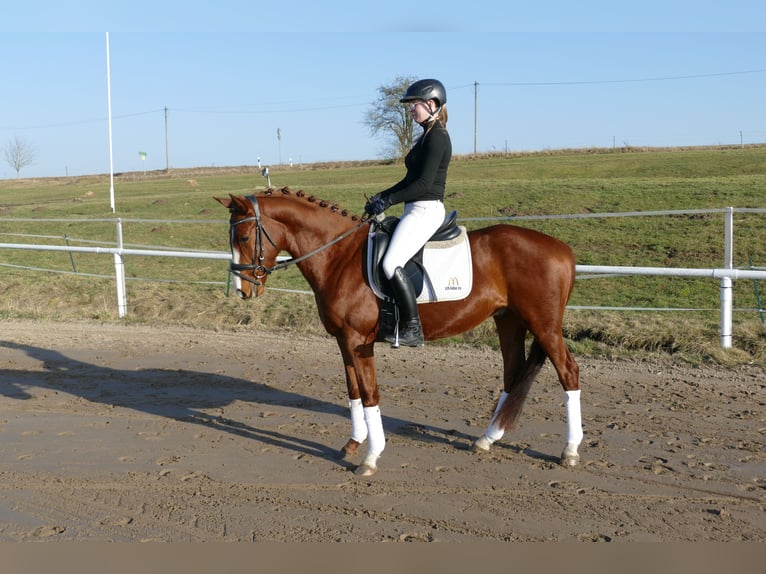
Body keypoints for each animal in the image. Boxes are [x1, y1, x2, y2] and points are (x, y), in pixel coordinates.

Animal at [215, 187, 582, 477]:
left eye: (244, 237)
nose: (242, 290)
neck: (339, 255)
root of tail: (563, 249)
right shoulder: (342, 340)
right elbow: (353, 391)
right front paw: (353, 443)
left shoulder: (358, 341)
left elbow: (370, 394)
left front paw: (371, 458)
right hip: (509, 321)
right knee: (513, 373)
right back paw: (487, 439)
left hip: (544, 325)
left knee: (568, 372)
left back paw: (570, 451)